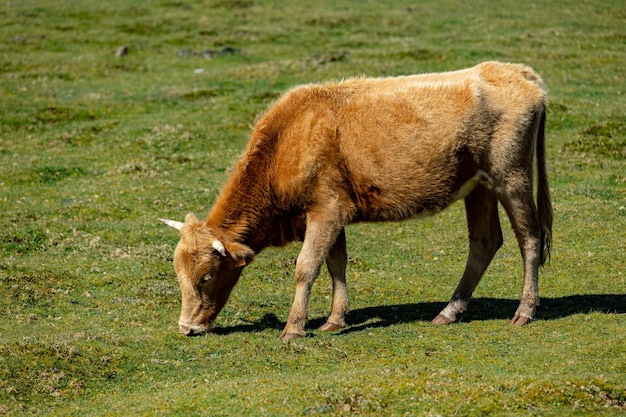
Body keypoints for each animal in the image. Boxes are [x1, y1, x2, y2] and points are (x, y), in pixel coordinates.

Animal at [161, 62, 552, 342]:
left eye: (207, 276)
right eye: (178, 273)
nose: (186, 328)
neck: (289, 140)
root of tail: (517, 71)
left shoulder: (326, 209)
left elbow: (307, 266)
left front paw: (293, 328)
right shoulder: (329, 213)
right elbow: (336, 263)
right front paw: (335, 320)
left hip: (511, 176)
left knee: (530, 238)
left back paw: (524, 311)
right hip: (479, 187)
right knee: (484, 242)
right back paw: (449, 311)